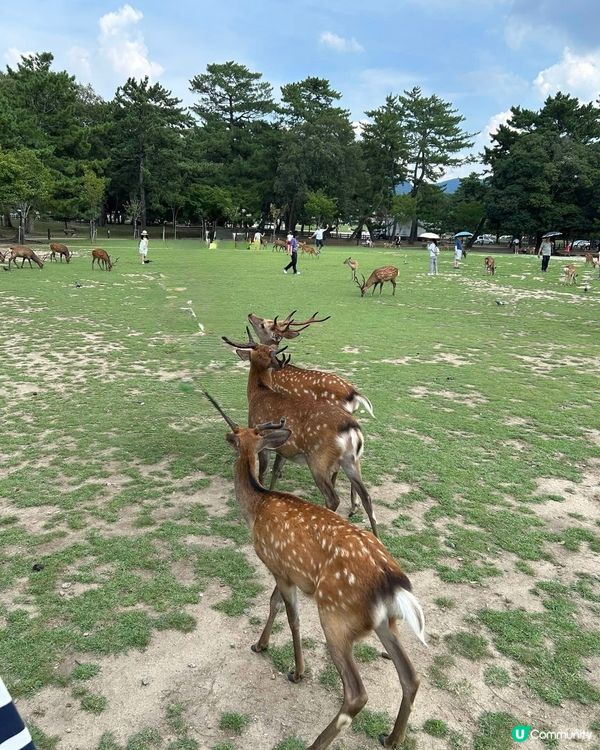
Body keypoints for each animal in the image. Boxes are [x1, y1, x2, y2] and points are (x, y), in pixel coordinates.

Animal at [203, 391, 425, 750]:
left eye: (236, 436)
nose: (227, 436)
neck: (257, 507)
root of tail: (393, 584)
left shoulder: (277, 565)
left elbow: (289, 615)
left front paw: (296, 671)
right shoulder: (286, 570)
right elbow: (273, 604)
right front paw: (260, 645)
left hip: (336, 616)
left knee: (356, 694)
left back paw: (317, 743)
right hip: (384, 623)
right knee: (411, 676)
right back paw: (392, 737)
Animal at [221, 335, 379, 537]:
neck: (259, 393)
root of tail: (351, 428)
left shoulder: (260, 439)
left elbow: (262, 473)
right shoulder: (283, 447)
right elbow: (275, 471)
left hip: (318, 460)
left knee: (333, 498)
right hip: (351, 460)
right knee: (367, 496)